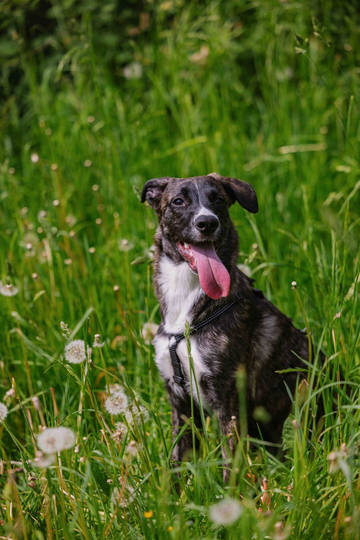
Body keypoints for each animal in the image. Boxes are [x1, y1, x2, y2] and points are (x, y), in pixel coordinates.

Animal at [141, 173, 312, 480]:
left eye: (218, 199)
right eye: (178, 201)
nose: (207, 223)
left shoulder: (228, 401)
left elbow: (230, 467)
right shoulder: (180, 403)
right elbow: (176, 464)